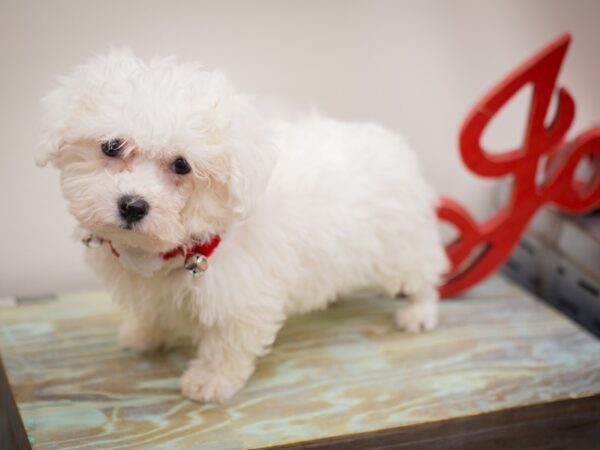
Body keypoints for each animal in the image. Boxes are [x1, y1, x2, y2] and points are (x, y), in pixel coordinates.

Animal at [37, 51, 448, 402]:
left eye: (182, 165)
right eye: (111, 146)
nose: (133, 205)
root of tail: (392, 143)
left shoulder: (240, 295)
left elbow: (226, 341)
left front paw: (210, 380)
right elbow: (155, 310)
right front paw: (146, 333)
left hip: (400, 245)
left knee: (424, 276)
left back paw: (419, 313)